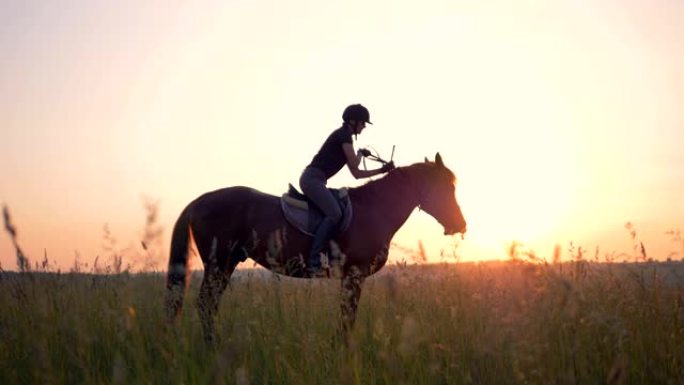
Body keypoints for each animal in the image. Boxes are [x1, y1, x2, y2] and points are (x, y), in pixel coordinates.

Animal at [166, 153, 468, 342]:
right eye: (445, 187)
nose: (460, 225)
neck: (374, 209)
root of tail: (200, 201)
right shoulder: (353, 275)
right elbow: (347, 317)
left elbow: (346, 316)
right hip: (218, 264)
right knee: (206, 304)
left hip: (225, 265)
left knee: (209, 304)